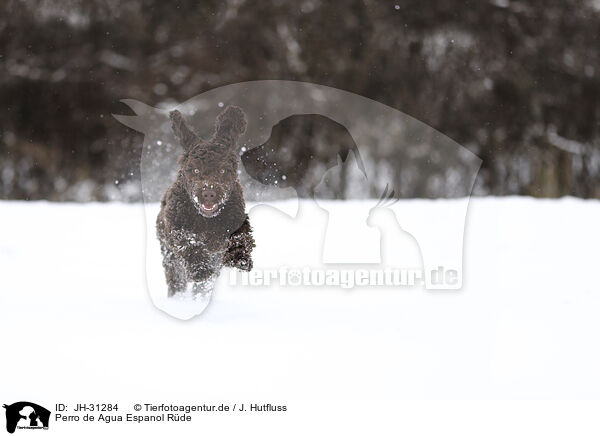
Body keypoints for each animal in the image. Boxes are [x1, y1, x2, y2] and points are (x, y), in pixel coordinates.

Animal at [156, 106, 254, 296]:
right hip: (169, 254)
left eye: (223, 171)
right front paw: (200, 270)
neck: (207, 219)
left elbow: (241, 235)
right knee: (176, 278)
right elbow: (189, 245)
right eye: (195, 170)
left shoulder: (236, 216)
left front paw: (240, 259)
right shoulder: (177, 228)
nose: (209, 193)